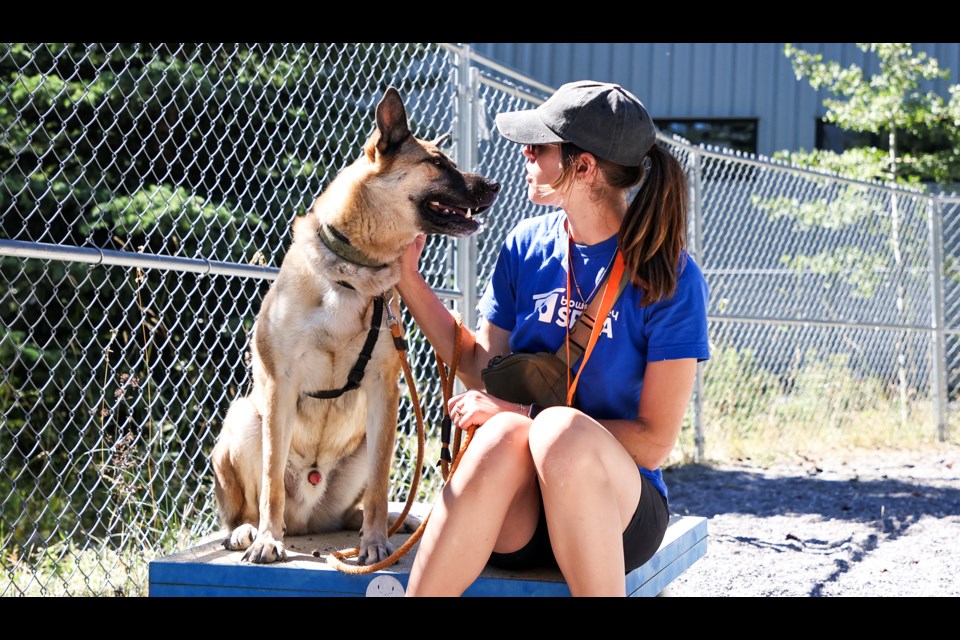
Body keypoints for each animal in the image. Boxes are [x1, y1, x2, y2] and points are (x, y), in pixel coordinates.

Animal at [212, 87, 502, 564]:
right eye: (438, 163)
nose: (495, 185)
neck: (353, 271)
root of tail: (307, 519)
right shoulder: (279, 384)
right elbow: (271, 480)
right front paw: (268, 539)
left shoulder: (384, 390)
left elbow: (382, 484)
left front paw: (375, 543)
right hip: (245, 418)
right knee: (248, 506)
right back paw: (249, 531)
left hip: (366, 442)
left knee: (360, 505)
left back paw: (390, 523)